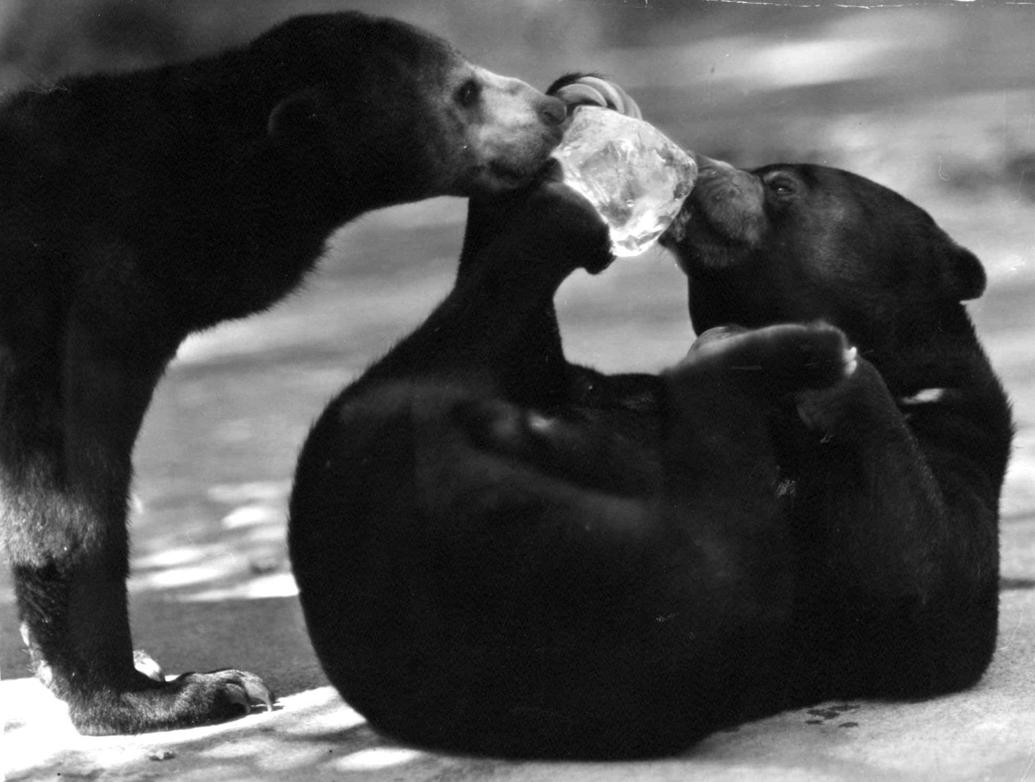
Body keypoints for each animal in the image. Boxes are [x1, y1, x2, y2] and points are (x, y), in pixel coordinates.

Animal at [287, 98, 1012, 757]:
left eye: (782, 187)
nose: (702, 165)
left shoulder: (957, 462)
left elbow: (920, 590)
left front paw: (833, 365)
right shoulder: (597, 386)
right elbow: (551, 366)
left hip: (650, 608)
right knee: (494, 329)